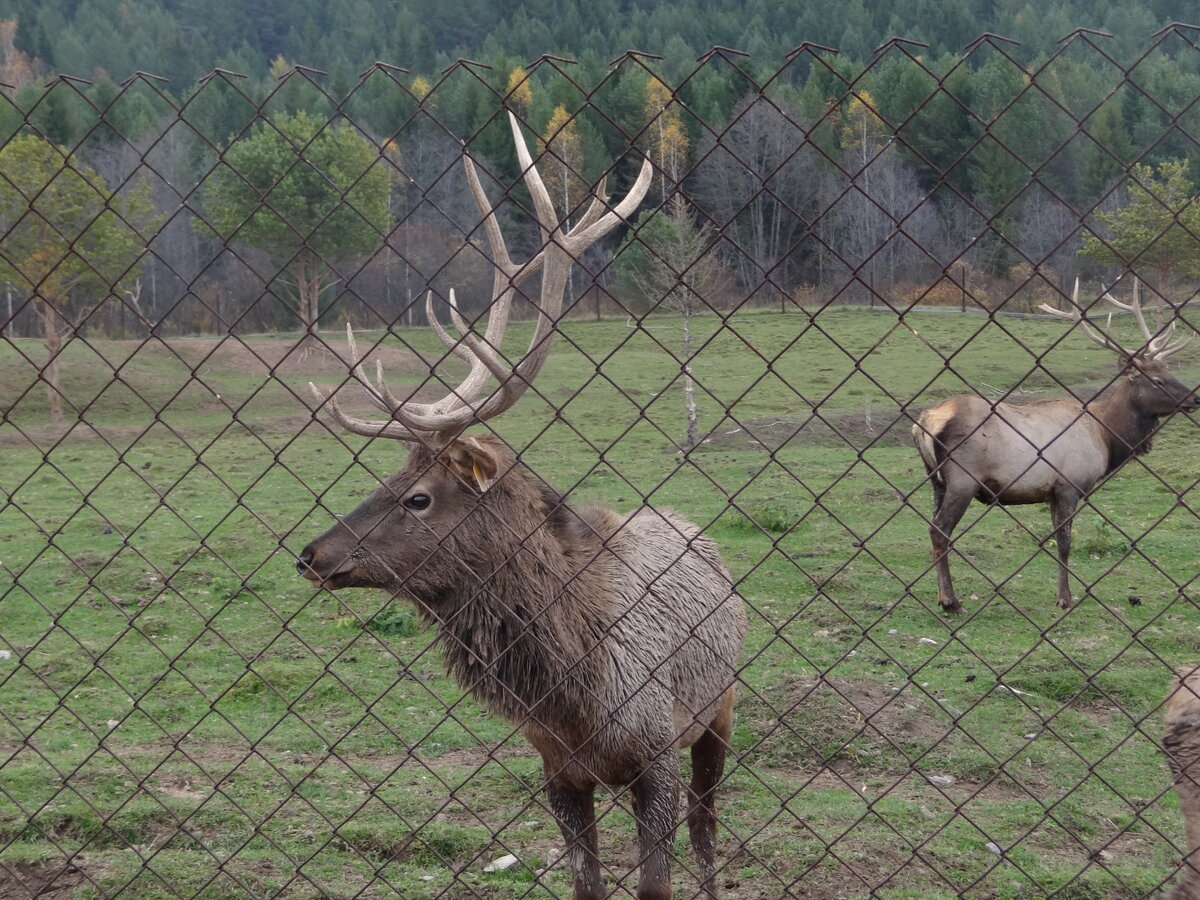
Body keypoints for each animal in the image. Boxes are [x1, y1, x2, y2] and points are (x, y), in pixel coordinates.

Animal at [296, 114, 744, 900]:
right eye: (388, 476)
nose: (311, 553)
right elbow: (586, 885)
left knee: (707, 827)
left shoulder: (657, 753)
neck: (577, 696)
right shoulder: (557, 770)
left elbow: (657, 881)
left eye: (418, 496)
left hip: (722, 707)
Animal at [912, 286, 1195, 614]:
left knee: (931, 526)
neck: (1106, 437)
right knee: (940, 529)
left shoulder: (1050, 492)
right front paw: (1065, 597)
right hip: (963, 478)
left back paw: (940, 595)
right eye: (1158, 380)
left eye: (1168, 371)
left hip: (936, 480)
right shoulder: (1069, 485)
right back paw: (950, 600)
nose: (1196, 397)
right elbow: (1065, 543)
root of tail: (924, 422)